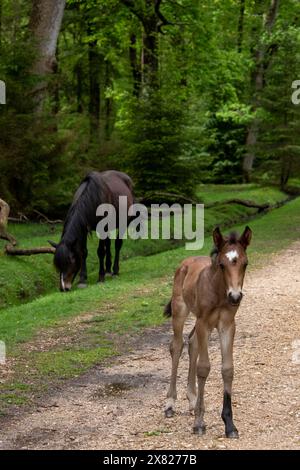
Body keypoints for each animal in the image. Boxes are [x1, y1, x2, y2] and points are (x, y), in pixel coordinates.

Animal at [163, 226, 252, 438]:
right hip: (180, 311)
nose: (235, 296)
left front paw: (229, 424)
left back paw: (193, 401)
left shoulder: (227, 324)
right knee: (177, 346)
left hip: (203, 323)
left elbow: (227, 369)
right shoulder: (204, 322)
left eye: (245, 263)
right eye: (221, 264)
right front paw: (199, 423)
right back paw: (170, 404)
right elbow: (203, 368)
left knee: (192, 343)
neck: (219, 291)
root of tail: (186, 262)